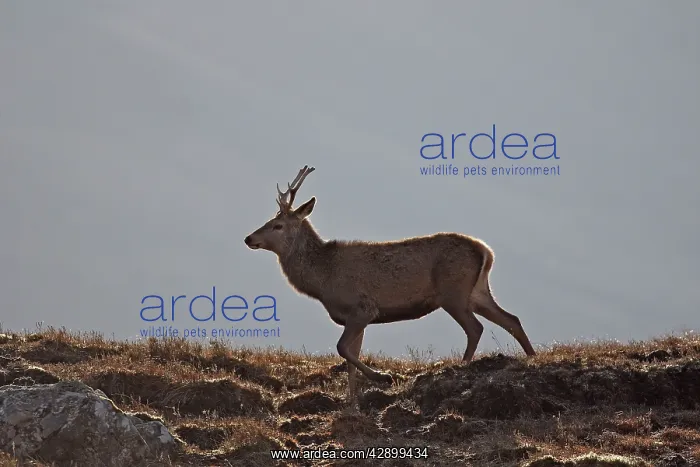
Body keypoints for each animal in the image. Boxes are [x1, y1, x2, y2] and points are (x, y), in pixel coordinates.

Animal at [244, 165, 537, 402]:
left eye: (278, 225)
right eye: (269, 220)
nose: (249, 238)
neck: (322, 280)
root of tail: (485, 251)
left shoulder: (363, 308)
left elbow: (342, 349)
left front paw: (384, 377)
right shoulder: (354, 317)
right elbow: (350, 358)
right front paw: (352, 402)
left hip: (453, 292)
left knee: (476, 328)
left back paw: (461, 366)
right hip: (477, 292)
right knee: (511, 319)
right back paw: (531, 357)